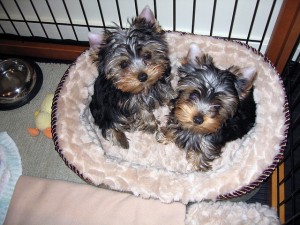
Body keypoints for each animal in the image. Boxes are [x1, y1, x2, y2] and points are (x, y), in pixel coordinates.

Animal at [89, 6, 173, 149]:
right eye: (123, 64)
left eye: (147, 55)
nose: (143, 76)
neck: (145, 89)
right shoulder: (130, 102)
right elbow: (143, 113)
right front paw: (153, 126)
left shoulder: (162, 84)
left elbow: (170, 95)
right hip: (104, 108)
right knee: (110, 123)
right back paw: (121, 138)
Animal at [156, 43, 256, 171]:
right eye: (193, 94)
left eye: (218, 105)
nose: (198, 119)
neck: (193, 130)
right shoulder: (177, 118)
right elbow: (172, 127)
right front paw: (165, 136)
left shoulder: (208, 144)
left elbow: (201, 156)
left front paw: (192, 168)